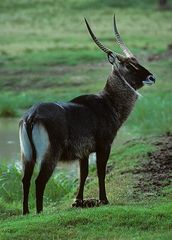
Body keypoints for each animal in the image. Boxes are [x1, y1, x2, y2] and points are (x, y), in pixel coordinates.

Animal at [19, 15, 155, 214]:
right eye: (129, 65)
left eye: (136, 61)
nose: (152, 77)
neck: (108, 102)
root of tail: (31, 116)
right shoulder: (104, 145)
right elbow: (100, 171)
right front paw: (104, 200)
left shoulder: (83, 152)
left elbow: (83, 174)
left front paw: (78, 201)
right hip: (49, 155)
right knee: (39, 181)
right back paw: (39, 212)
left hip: (27, 156)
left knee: (25, 179)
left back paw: (26, 213)